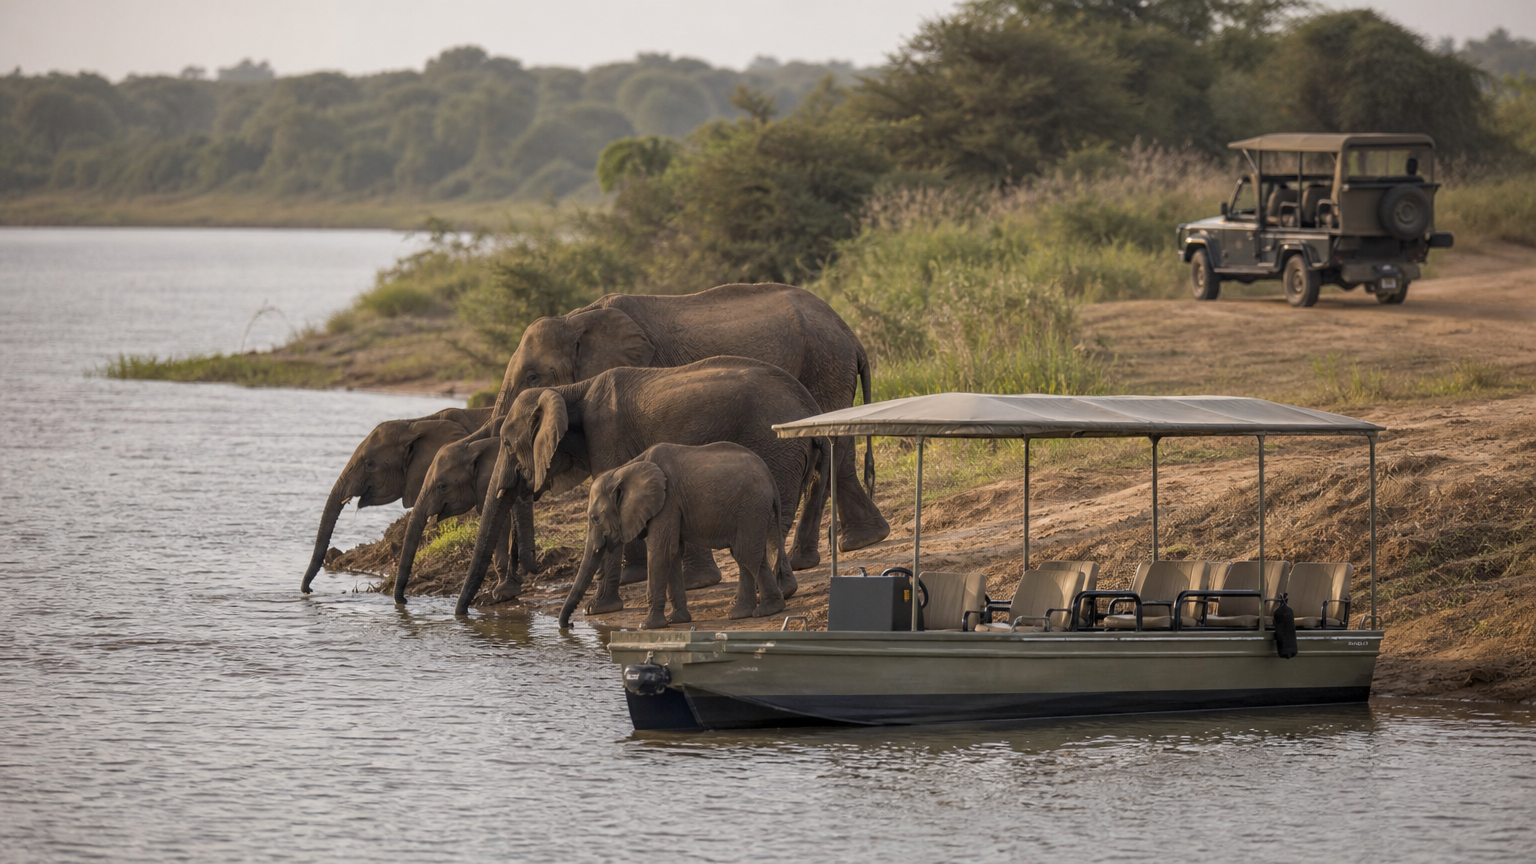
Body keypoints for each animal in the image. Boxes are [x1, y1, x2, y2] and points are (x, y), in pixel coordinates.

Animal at [561, 443, 791, 630]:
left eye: (595, 518)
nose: (569, 625)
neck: (624, 470)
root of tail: (769, 476)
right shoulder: (667, 505)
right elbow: (672, 552)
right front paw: (676, 621)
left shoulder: (667, 500)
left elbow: (661, 551)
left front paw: (647, 626)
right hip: (749, 511)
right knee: (746, 555)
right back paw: (744, 613)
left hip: (751, 507)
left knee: (746, 554)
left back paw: (766, 610)